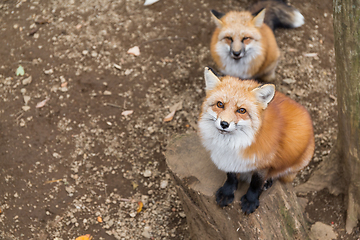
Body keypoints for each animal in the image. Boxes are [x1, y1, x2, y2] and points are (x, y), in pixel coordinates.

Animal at [198, 68, 314, 214]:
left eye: (241, 110)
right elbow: (231, 176)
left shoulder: (263, 162)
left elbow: (255, 183)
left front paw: (250, 200)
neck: (232, 145)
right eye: (220, 104)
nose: (224, 124)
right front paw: (227, 192)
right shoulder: (228, 159)